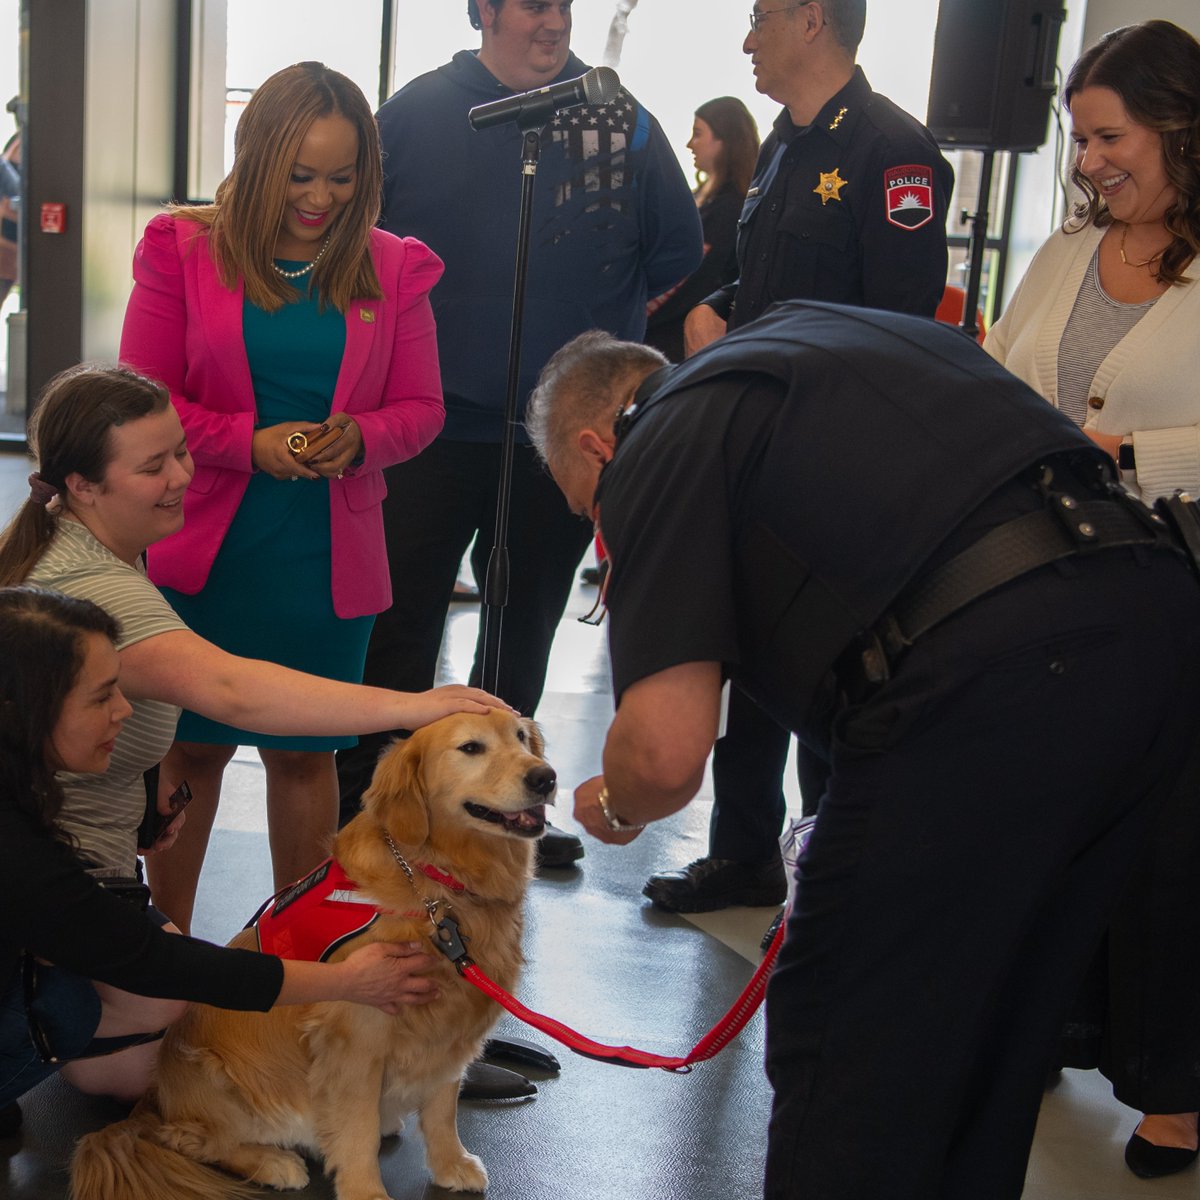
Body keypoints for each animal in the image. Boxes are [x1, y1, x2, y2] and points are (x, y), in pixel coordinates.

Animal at [75, 710, 556, 1200]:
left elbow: (443, 1108)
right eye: (470, 748)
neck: (437, 882)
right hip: (221, 1079)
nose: (545, 777)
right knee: (191, 1139)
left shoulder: (449, 1029)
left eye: (521, 738)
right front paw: (366, 1191)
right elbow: (357, 1129)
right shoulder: (356, 1037)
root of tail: (153, 1099)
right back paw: (272, 1162)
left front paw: (450, 1164)